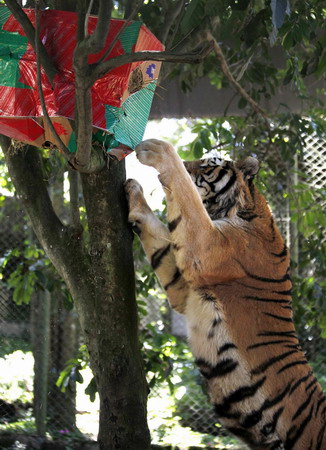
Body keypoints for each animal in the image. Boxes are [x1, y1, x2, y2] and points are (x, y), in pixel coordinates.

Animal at [123, 139, 324, 448]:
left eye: (207, 165)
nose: (191, 164)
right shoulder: (185, 289)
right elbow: (160, 236)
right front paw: (133, 189)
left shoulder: (205, 247)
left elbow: (185, 193)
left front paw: (156, 150)